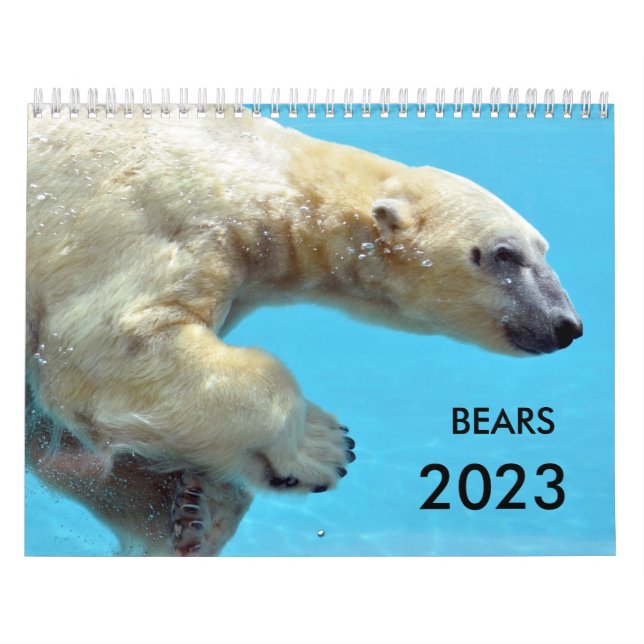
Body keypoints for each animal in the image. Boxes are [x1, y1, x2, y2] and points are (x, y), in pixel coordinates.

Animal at [26, 108, 582, 556]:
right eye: (504, 254)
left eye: (544, 249)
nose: (566, 325)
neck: (268, 168)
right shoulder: (161, 218)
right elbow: (113, 344)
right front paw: (323, 446)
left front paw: (193, 512)